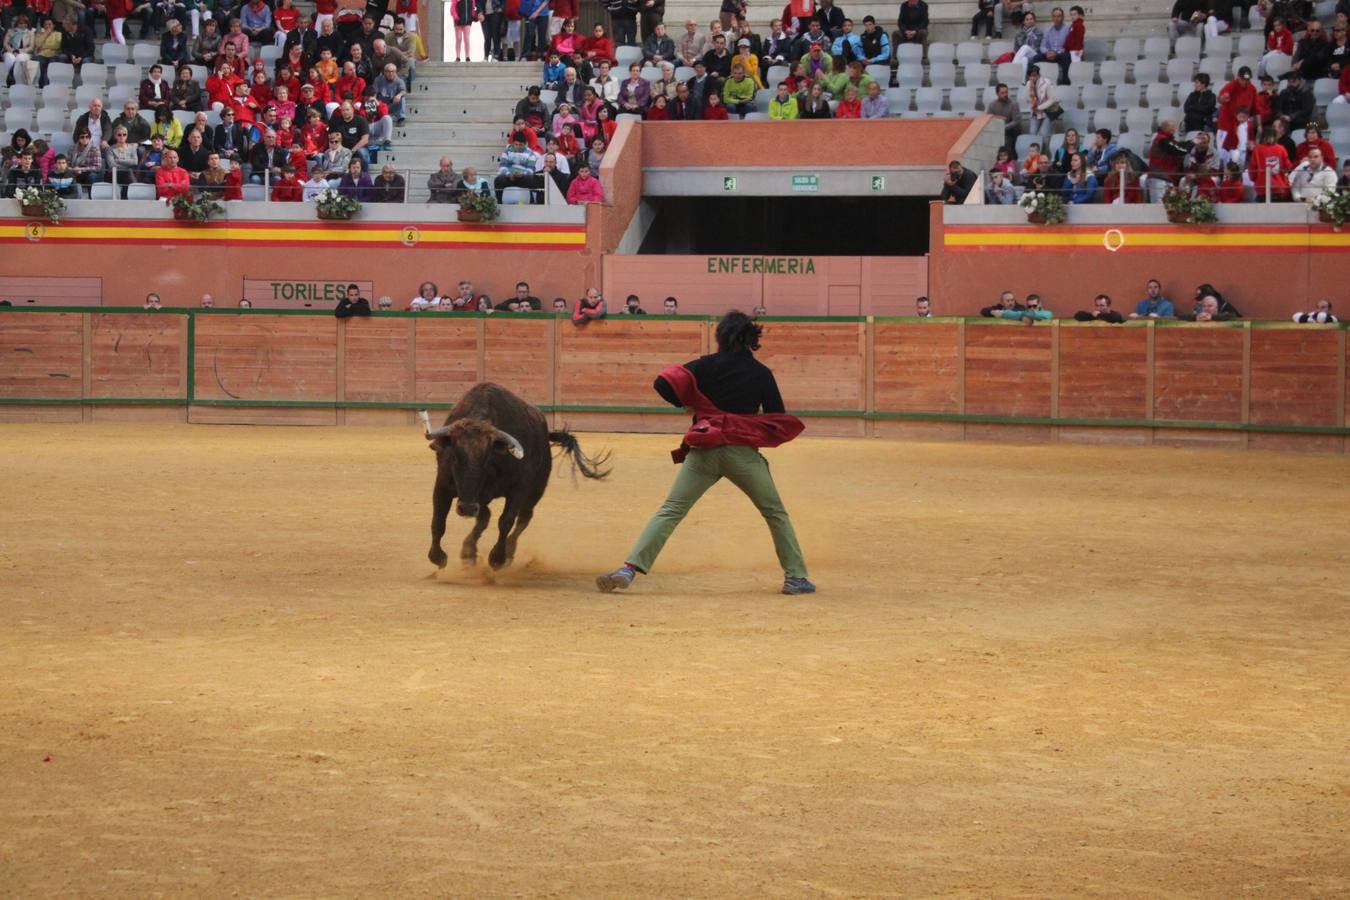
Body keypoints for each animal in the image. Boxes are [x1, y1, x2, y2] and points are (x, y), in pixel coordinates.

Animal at [421, 383, 612, 569]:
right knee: (485, 516)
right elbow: (438, 520)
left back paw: (508, 551)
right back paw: (469, 552)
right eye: (455, 455)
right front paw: (437, 557)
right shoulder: (443, 486)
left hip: (535, 490)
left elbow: (506, 521)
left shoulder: (518, 489)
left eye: (487, 456)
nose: (467, 508)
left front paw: (497, 558)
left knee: (524, 517)